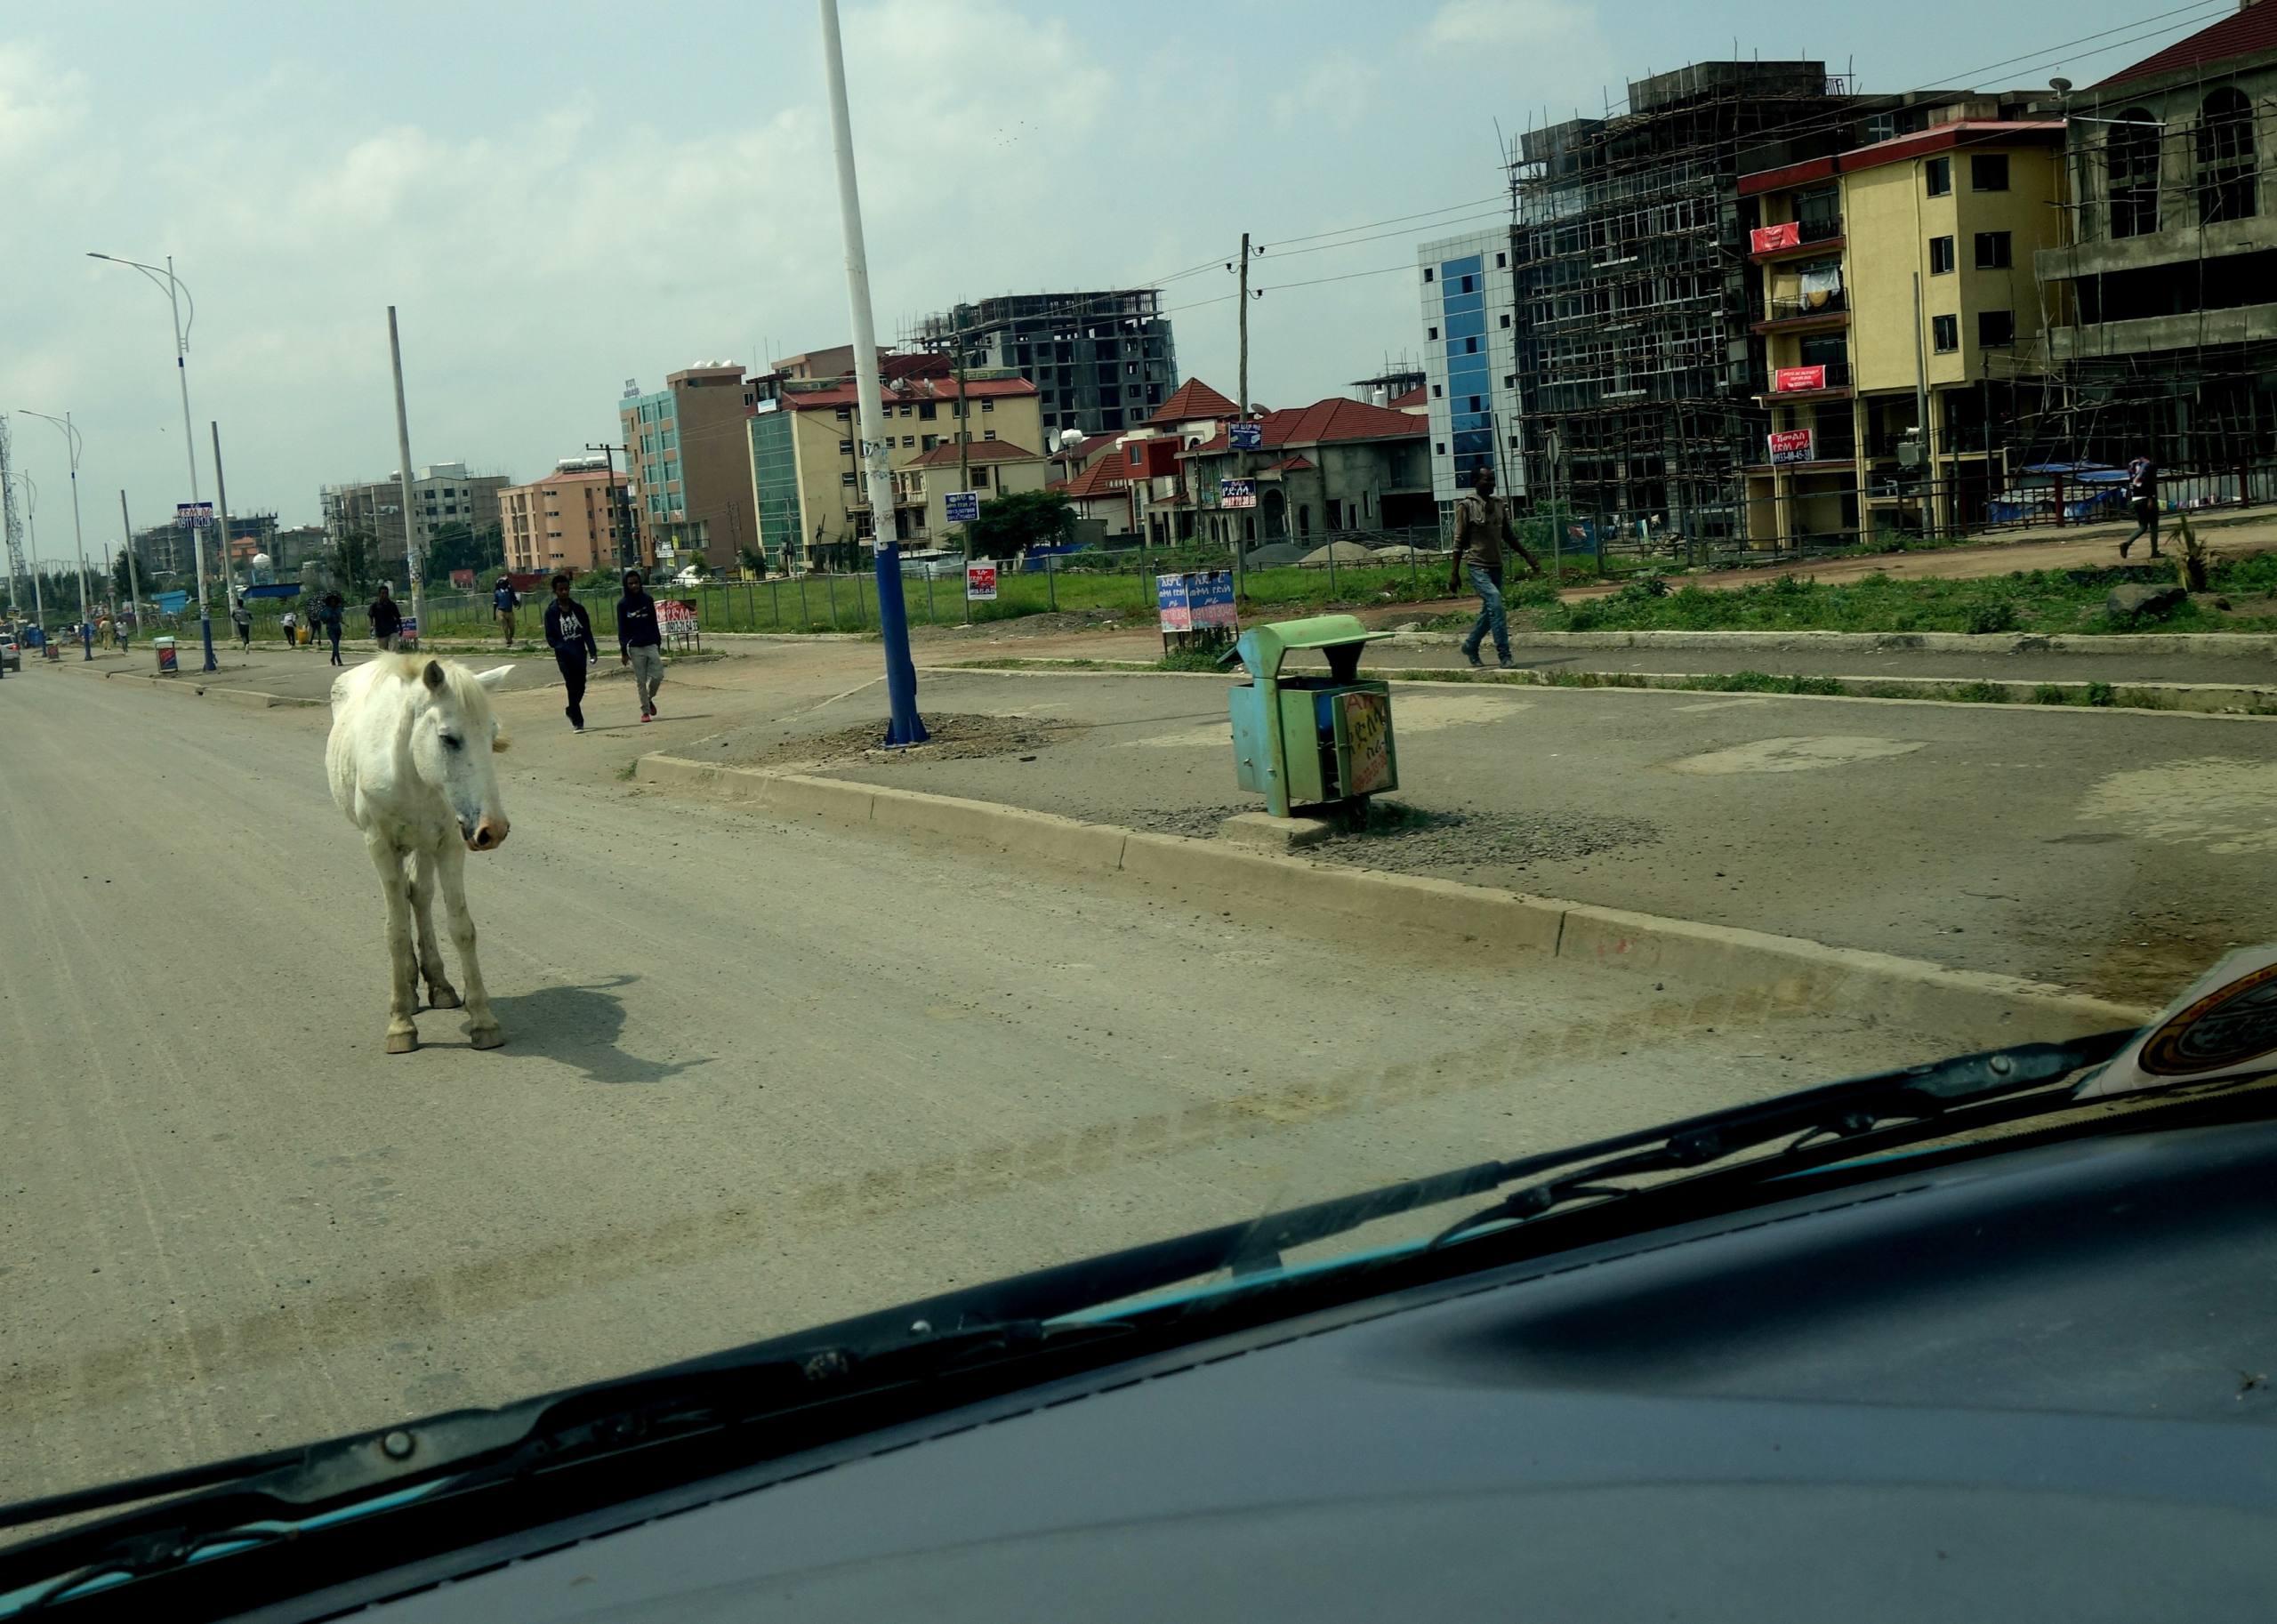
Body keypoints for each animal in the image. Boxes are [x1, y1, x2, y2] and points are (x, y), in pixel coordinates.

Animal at [327, 655, 514, 1052]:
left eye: (492, 737)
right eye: (448, 738)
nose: (493, 829)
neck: (410, 770)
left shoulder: (449, 845)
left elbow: (462, 928)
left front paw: (483, 1020)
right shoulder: (381, 847)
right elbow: (395, 932)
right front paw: (400, 1023)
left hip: (425, 846)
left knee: (420, 896)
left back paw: (439, 985)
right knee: (407, 898)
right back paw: (412, 993)